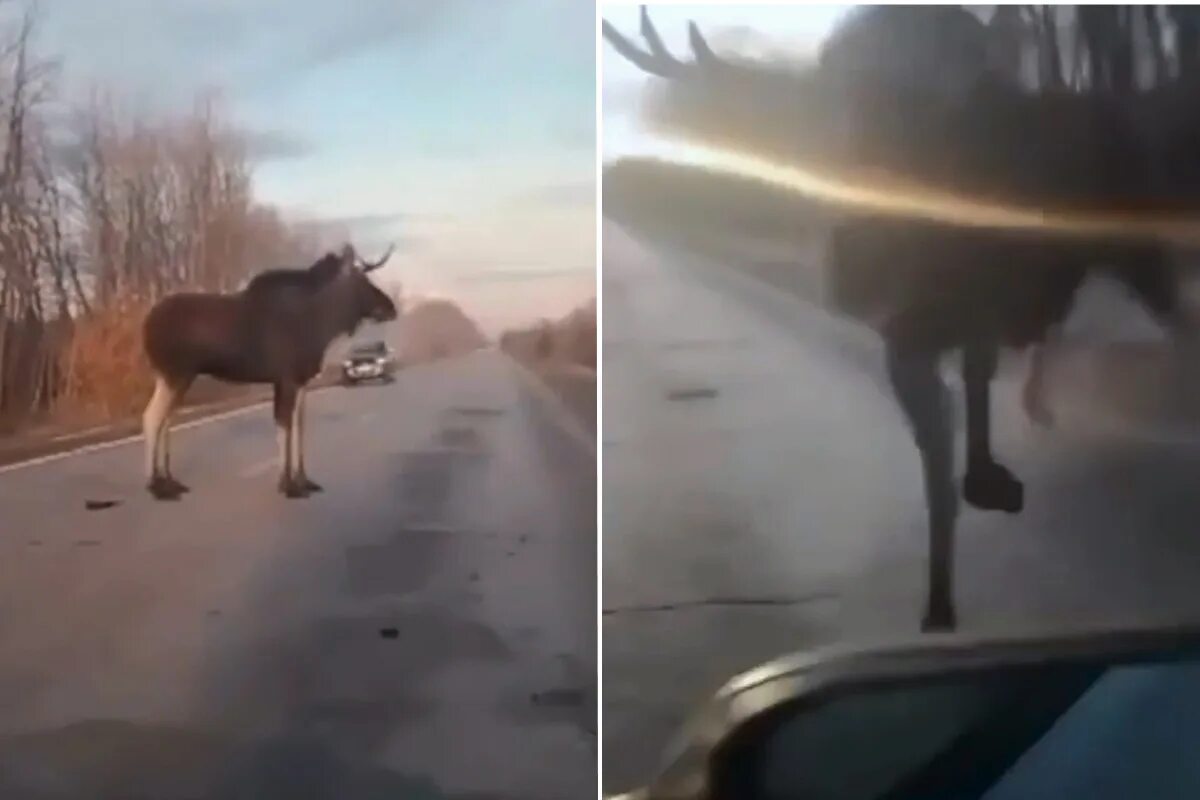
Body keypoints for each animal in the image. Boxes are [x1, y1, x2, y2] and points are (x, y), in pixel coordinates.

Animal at [139, 244, 393, 501]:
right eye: (362, 281)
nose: (390, 307)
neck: (320, 323)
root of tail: (146, 324)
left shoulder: (301, 381)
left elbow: (298, 426)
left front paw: (303, 480)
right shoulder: (287, 379)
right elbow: (285, 426)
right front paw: (288, 484)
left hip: (173, 377)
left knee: (165, 421)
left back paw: (170, 480)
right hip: (176, 374)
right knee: (152, 417)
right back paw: (156, 485)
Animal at [604, 6, 1200, 633]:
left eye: (945, 98)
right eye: (835, 94)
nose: (850, 260)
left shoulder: (971, 309)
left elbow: (967, 406)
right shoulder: (907, 335)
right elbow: (940, 461)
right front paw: (939, 601)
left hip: (1135, 246)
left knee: (1173, 323)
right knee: (1063, 329)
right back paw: (1038, 403)